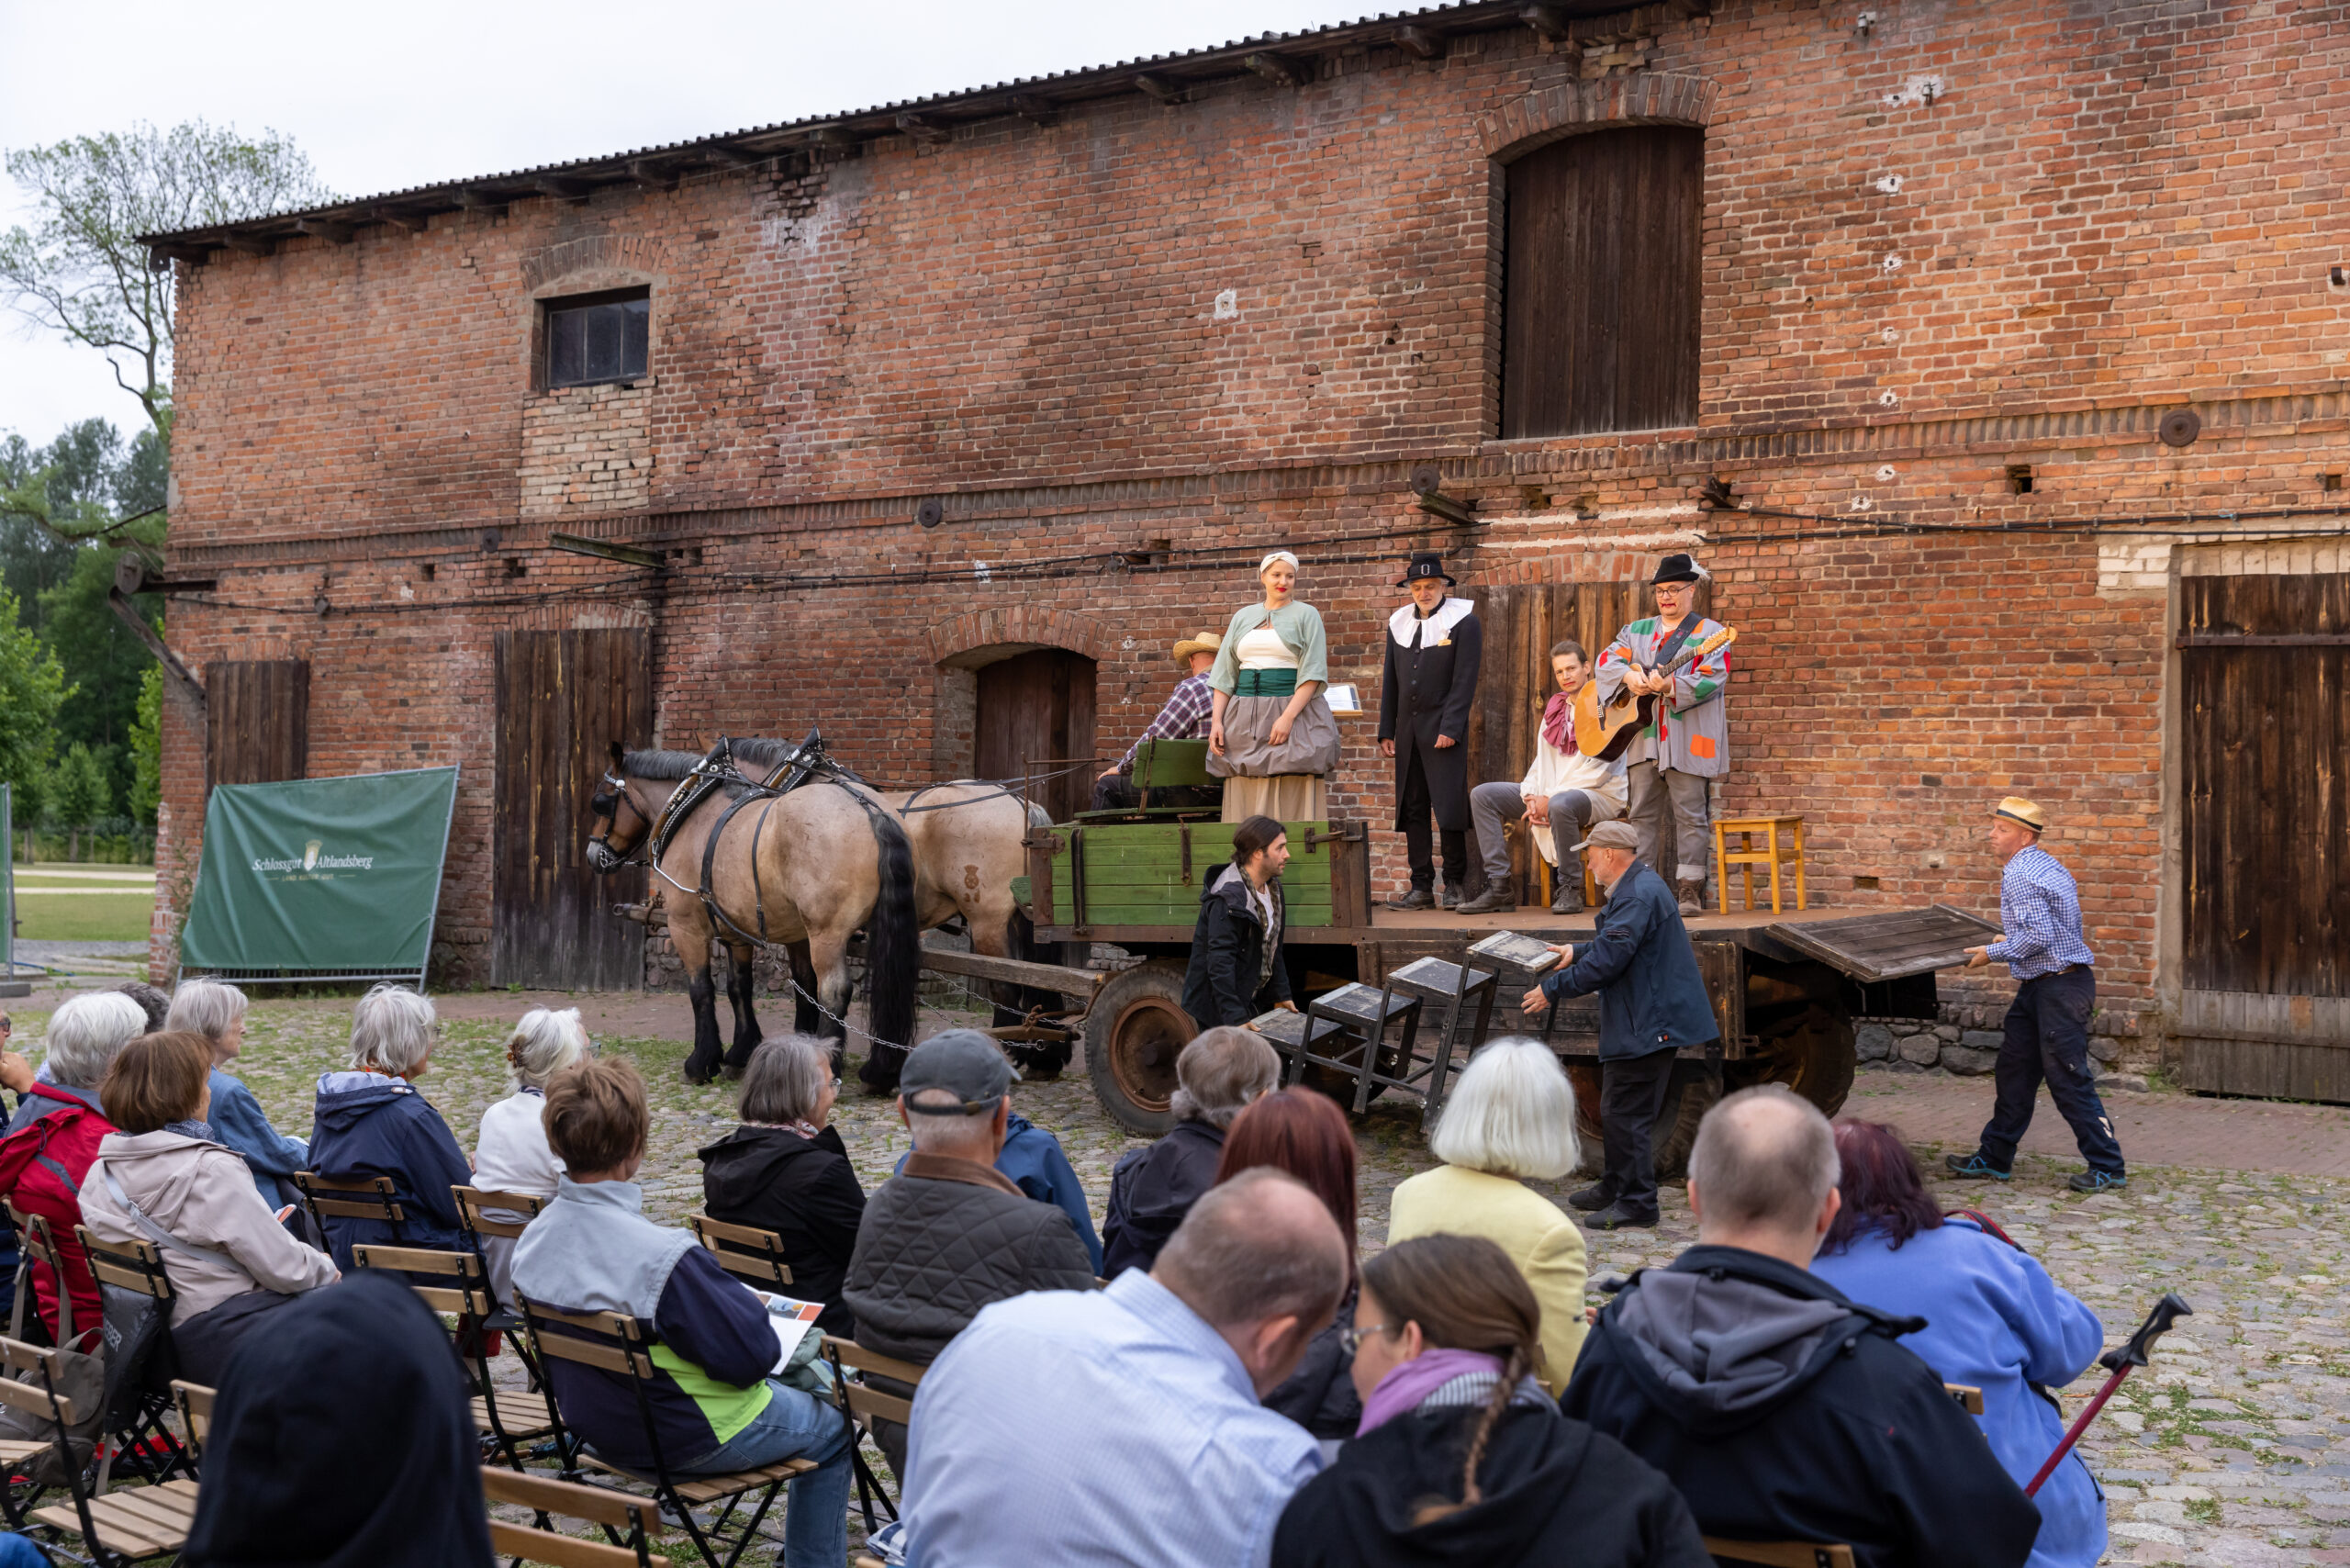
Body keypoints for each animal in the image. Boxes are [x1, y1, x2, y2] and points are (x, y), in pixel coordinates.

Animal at [582, 738, 921, 1086]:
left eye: (600, 802)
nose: (594, 855)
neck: (693, 808)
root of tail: (870, 808)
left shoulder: (685, 926)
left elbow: (701, 990)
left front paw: (702, 1061)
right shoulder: (738, 928)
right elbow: (741, 986)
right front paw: (741, 1052)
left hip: (826, 932)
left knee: (834, 991)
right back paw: (881, 1070)